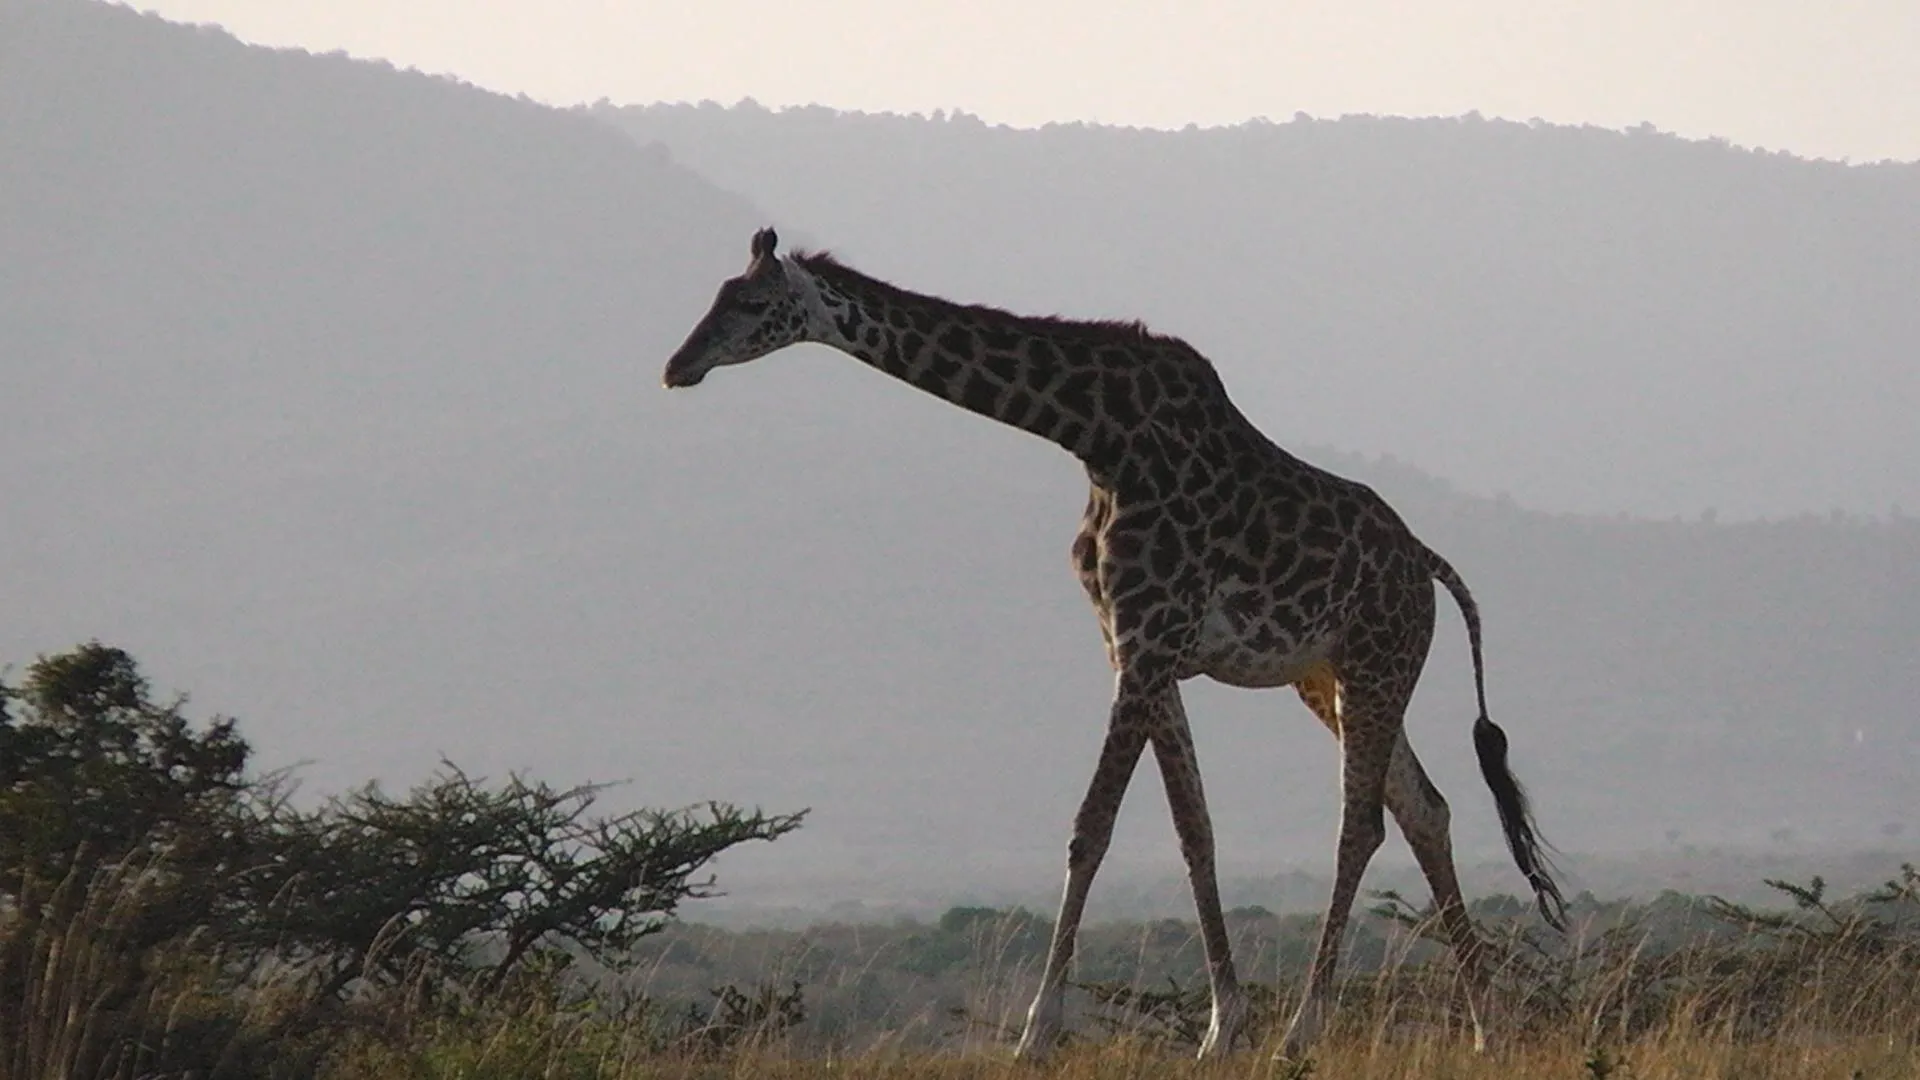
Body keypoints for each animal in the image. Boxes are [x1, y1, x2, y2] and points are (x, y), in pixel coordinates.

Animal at [662, 228, 1567, 1060]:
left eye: (751, 304)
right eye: (715, 293)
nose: (677, 366)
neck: (1095, 436)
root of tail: (1430, 566)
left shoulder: (1148, 639)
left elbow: (1090, 826)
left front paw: (1037, 1033)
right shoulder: (1135, 646)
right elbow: (1194, 831)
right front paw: (1221, 1028)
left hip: (1380, 661)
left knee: (1362, 825)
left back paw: (1304, 1031)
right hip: (1329, 675)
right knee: (1424, 808)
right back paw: (1484, 1027)